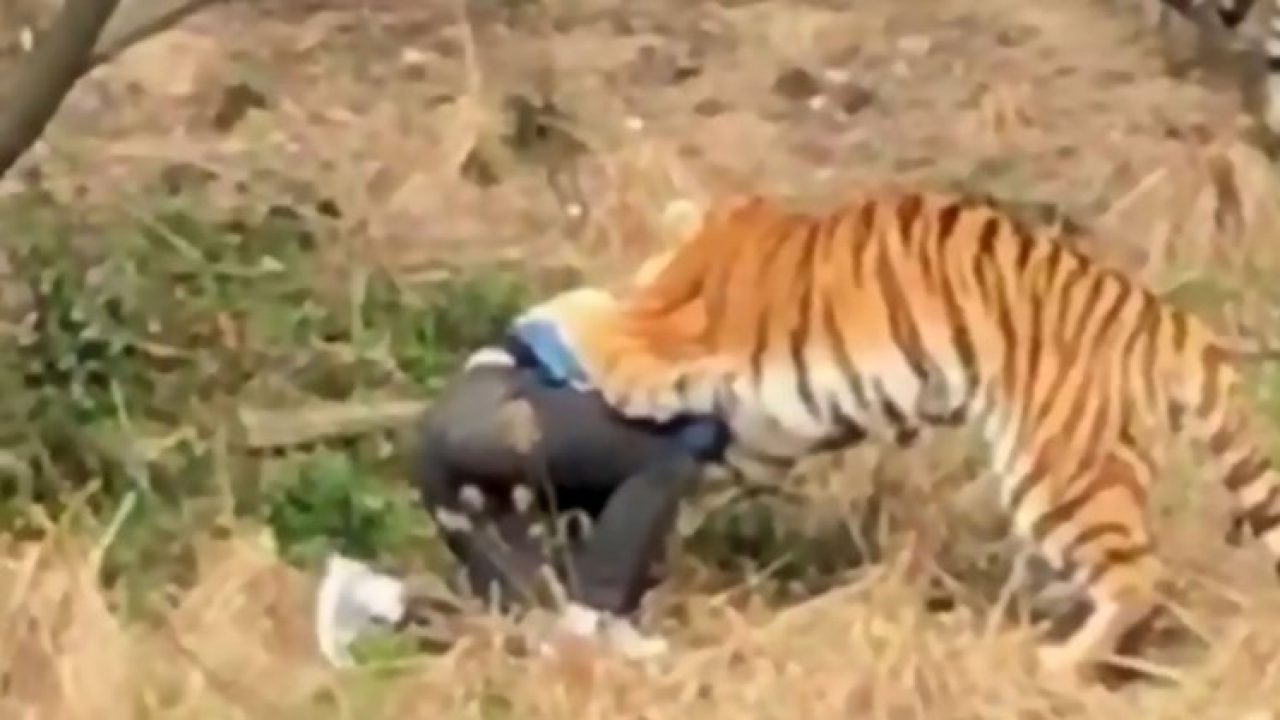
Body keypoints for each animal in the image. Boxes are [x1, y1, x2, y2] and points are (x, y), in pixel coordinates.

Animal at [514, 185, 1280, 681]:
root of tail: (1161, 313)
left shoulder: (657, 343)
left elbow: (598, 320)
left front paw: (543, 320)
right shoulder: (759, 435)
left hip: (1059, 468)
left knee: (1137, 574)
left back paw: (1060, 661)